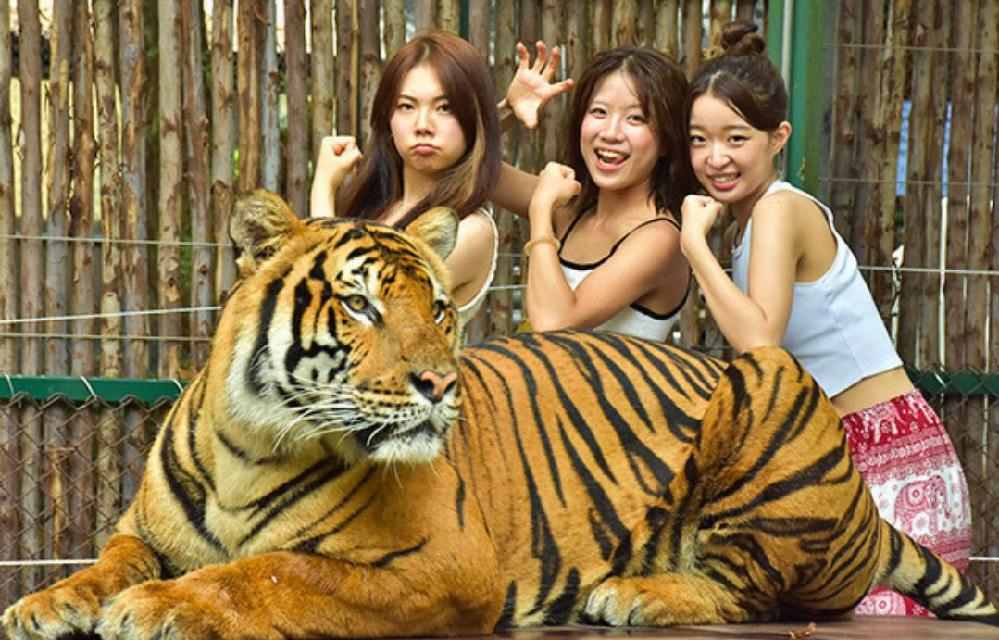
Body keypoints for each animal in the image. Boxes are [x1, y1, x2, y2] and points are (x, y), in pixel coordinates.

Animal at [4, 190, 997, 640]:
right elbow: (107, 562)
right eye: (360, 306)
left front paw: (160, 606)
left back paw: (635, 591)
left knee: (753, 589)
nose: (438, 384)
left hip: (768, 381)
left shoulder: (437, 564)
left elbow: (270, 571)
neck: (251, 442)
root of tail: (865, 512)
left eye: (440, 309)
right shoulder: (141, 531)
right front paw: (44, 602)